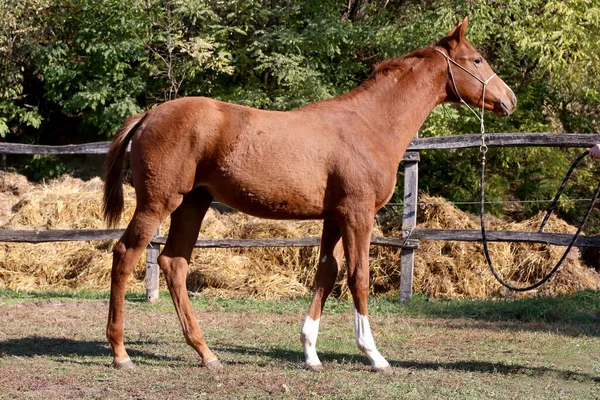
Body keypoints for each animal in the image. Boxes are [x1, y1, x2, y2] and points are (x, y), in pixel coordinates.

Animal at [103, 15, 516, 372]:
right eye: (477, 59)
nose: (509, 99)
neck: (371, 124)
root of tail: (149, 115)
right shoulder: (357, 214)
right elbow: (358, 277)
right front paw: (374, 355)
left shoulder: (334, 217)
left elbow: (326, 273)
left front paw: (311, 354)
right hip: (158, 202)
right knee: (125, 254)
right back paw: (121, 353)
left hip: (193, 203)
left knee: (174, 263)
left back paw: (207, 354)